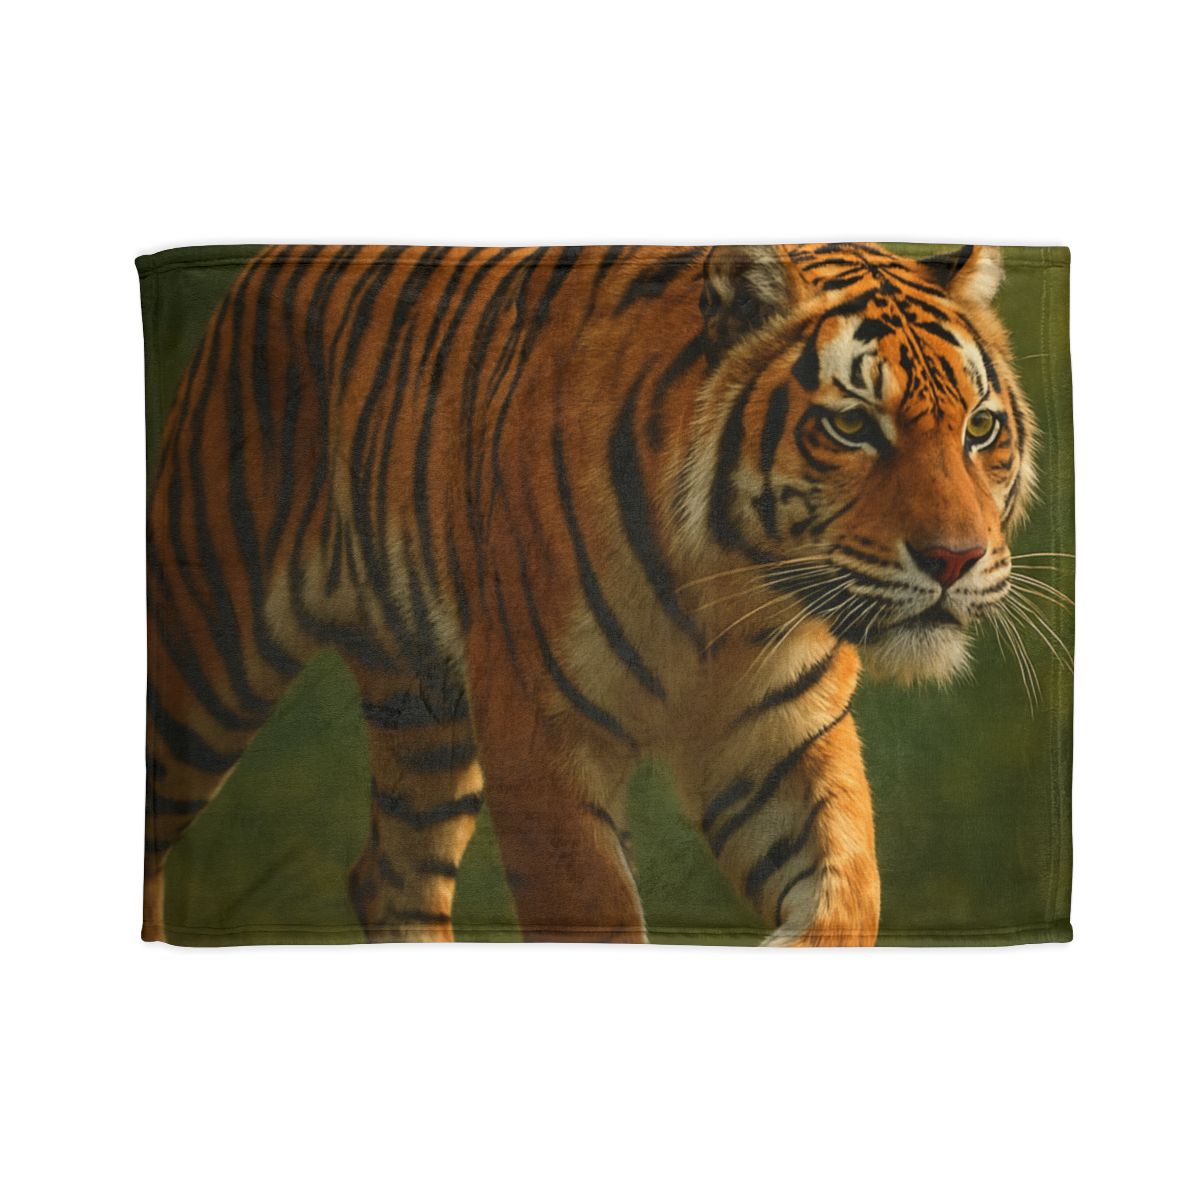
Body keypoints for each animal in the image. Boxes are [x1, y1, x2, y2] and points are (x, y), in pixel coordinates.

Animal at [143, 241, 1034, 946]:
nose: (955, 559)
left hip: (426, 712)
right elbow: (593, 910)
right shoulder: (540, 736)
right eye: (851, 426)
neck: (726, 594)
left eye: (979, 429)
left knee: (392, 875)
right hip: (209, 655)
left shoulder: (785, 739)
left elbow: (848, 898)